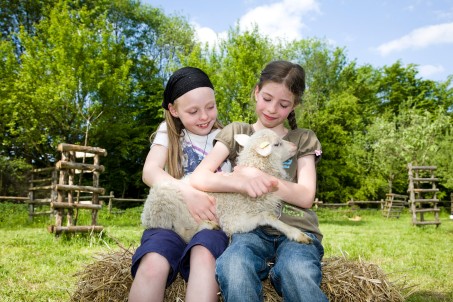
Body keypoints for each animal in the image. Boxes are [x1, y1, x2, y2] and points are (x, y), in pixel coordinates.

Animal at [140, 129, 310, 244]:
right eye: (277, 144)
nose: (294, 146)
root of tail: (146, 216)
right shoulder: (232, 221)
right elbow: (267, 216)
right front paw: (297, 233)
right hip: (168, 207)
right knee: (183, 234)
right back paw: (208, 225)